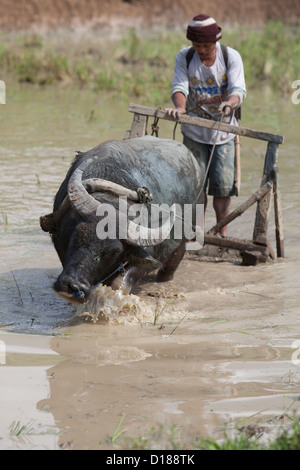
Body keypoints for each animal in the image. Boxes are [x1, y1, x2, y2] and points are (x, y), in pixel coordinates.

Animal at [39, 137, 203, 304]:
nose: (73, 286)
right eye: (78, 233)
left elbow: (120, 282)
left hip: (181, 244)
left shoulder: (147, 257)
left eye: (114, 251)